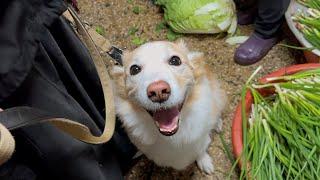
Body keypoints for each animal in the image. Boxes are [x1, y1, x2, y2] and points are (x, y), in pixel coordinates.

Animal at [110, 40, 228, 173]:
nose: (158, 91)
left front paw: (205, 162)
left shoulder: (201, 139)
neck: (172, 137)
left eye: (175, 60)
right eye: (134, 69)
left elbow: (201, 151)